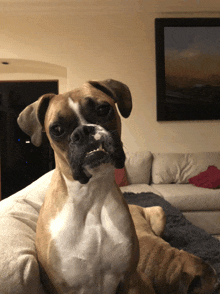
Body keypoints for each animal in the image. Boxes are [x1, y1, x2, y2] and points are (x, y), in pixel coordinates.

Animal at [18, 80, 139, 294]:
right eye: (57, 129)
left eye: (103, 109)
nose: (84, 131)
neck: (91, 197)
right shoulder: (64, 287)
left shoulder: (129, 279)